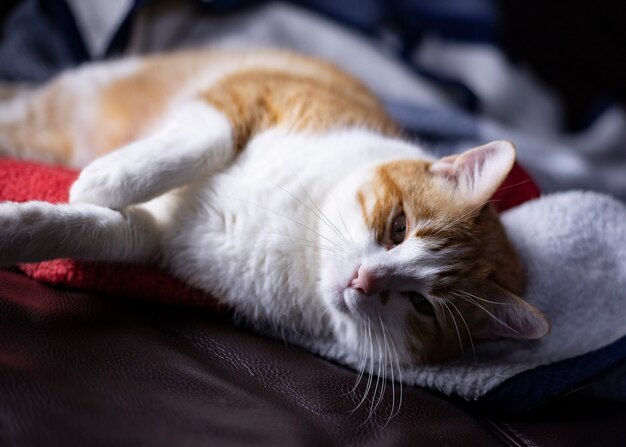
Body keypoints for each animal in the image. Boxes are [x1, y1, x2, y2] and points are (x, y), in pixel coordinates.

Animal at [0, 49, 544, 374]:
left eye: (421, 306)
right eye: (399, 228)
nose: (363, 280)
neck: (304, 237)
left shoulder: (153, 236)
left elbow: (81, 229)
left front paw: (20, 228)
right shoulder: (255, 94)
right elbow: (201, 145)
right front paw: (106, 178)